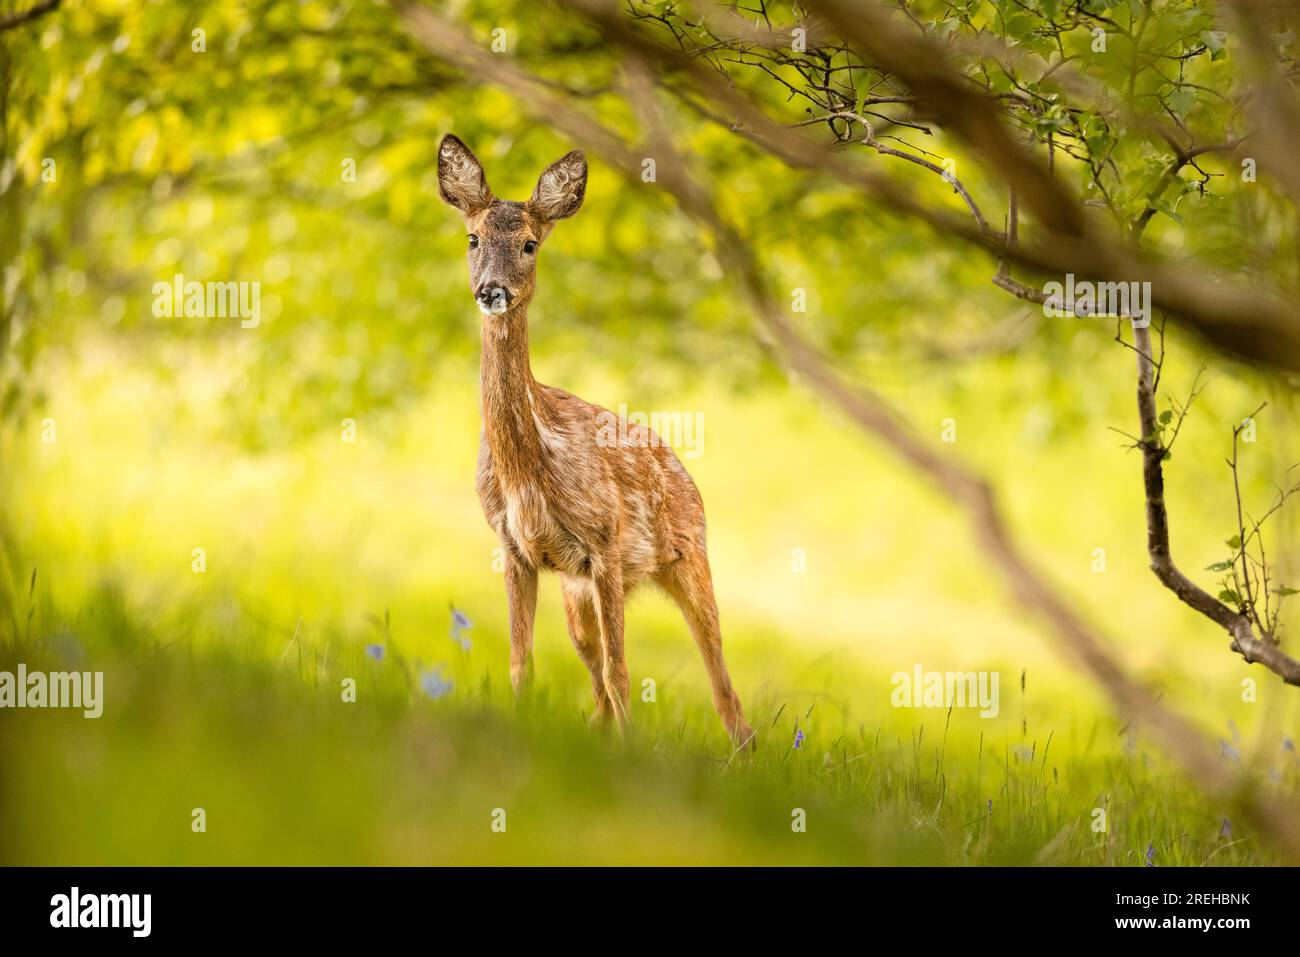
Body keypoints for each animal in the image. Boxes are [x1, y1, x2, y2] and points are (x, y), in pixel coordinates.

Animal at [436, 134, 755, 750]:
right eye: (472, 238)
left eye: (531, 243)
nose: (492, 291)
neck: (530, 468)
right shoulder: (514, 547)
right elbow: (523, 661)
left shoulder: (605, 542)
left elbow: (621, 671)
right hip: (579, 590)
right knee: (595, 673)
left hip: (685, 555)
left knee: (720, 679)